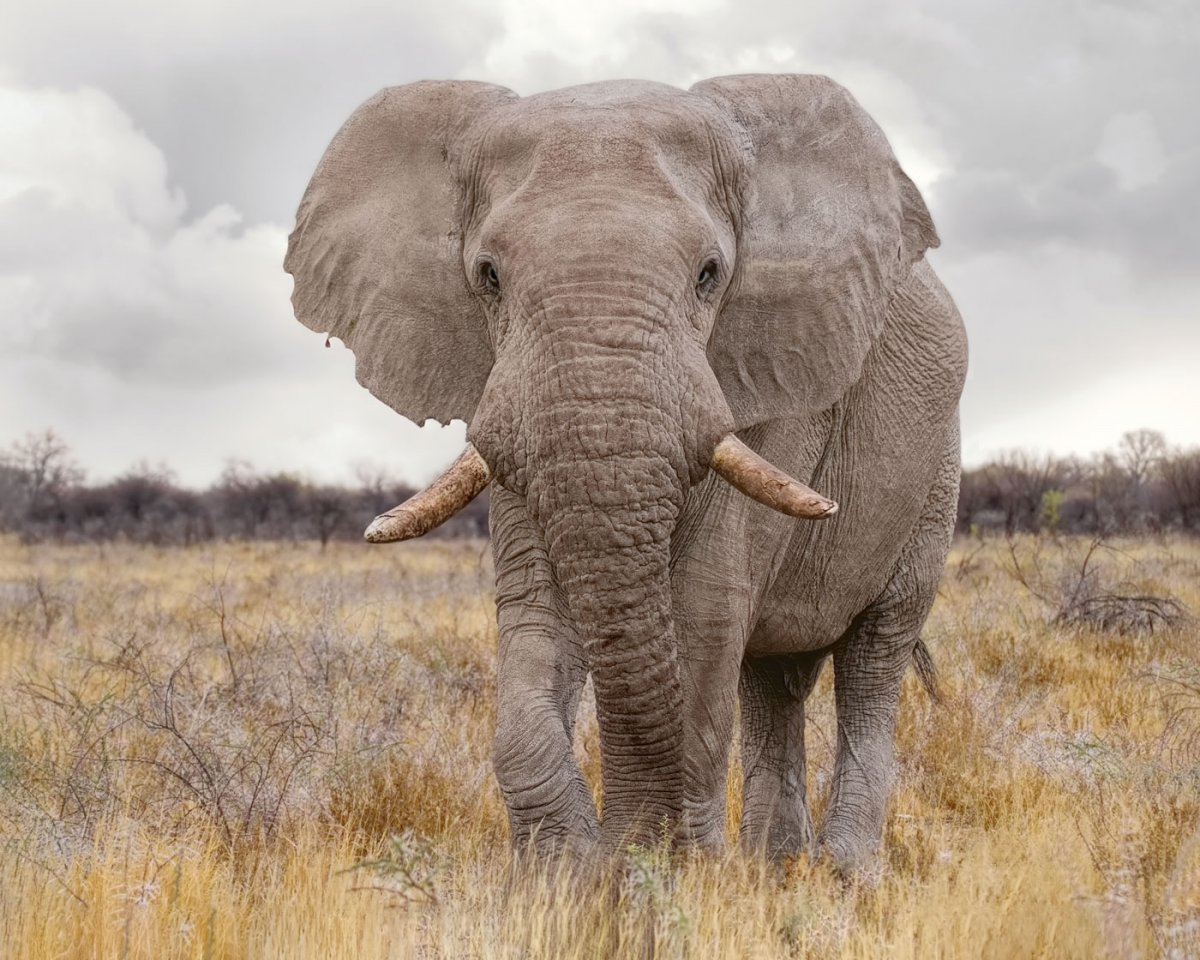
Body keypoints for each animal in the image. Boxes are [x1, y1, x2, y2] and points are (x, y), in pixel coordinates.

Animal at [285, 74, 967, 873]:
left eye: (709, 275)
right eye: (488, 277)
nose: (621, 850)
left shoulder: (772, 382)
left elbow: (704, 610)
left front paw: (670, 873)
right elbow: (534, 613)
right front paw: (570, 874)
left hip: (937, 473)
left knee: (874, 654)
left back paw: (843, 876)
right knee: (775, 677)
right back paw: (772, 870)